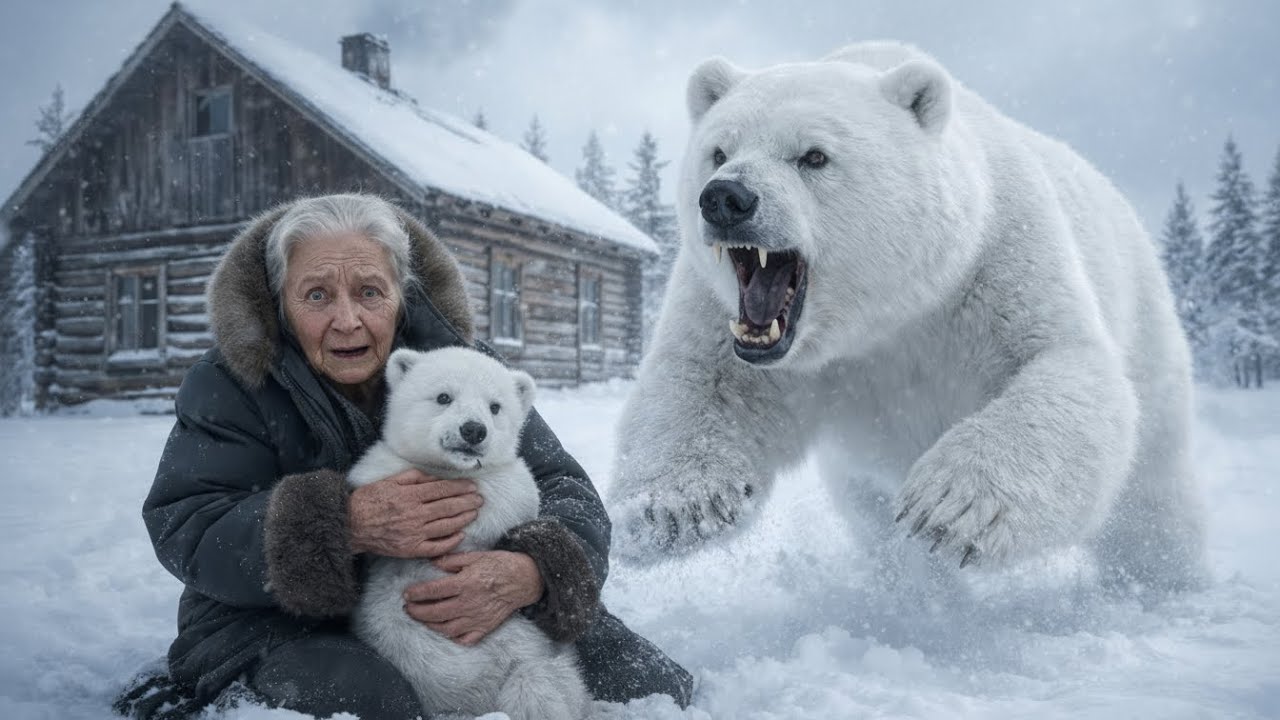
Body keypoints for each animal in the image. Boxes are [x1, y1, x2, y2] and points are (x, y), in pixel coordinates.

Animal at [347, 346, 589, 720]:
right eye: (443, 397)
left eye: (495, 406)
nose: (473, 430)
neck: (449, 473)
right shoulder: (384, 468)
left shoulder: (505, 480)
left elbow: (514, 490)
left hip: (536, 663)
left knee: (536, 686)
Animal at [609, 41, 1206, 595]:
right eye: (718, 151)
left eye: (814, 156)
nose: (726, 199)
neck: (889, 315)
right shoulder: (729, 315)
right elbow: (710, 380)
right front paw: (672, 507)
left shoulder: (998, 257)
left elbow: (1064, 365)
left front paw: (949, 508)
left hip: (1149, 324)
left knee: (1154, 484)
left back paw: (1164, 578)